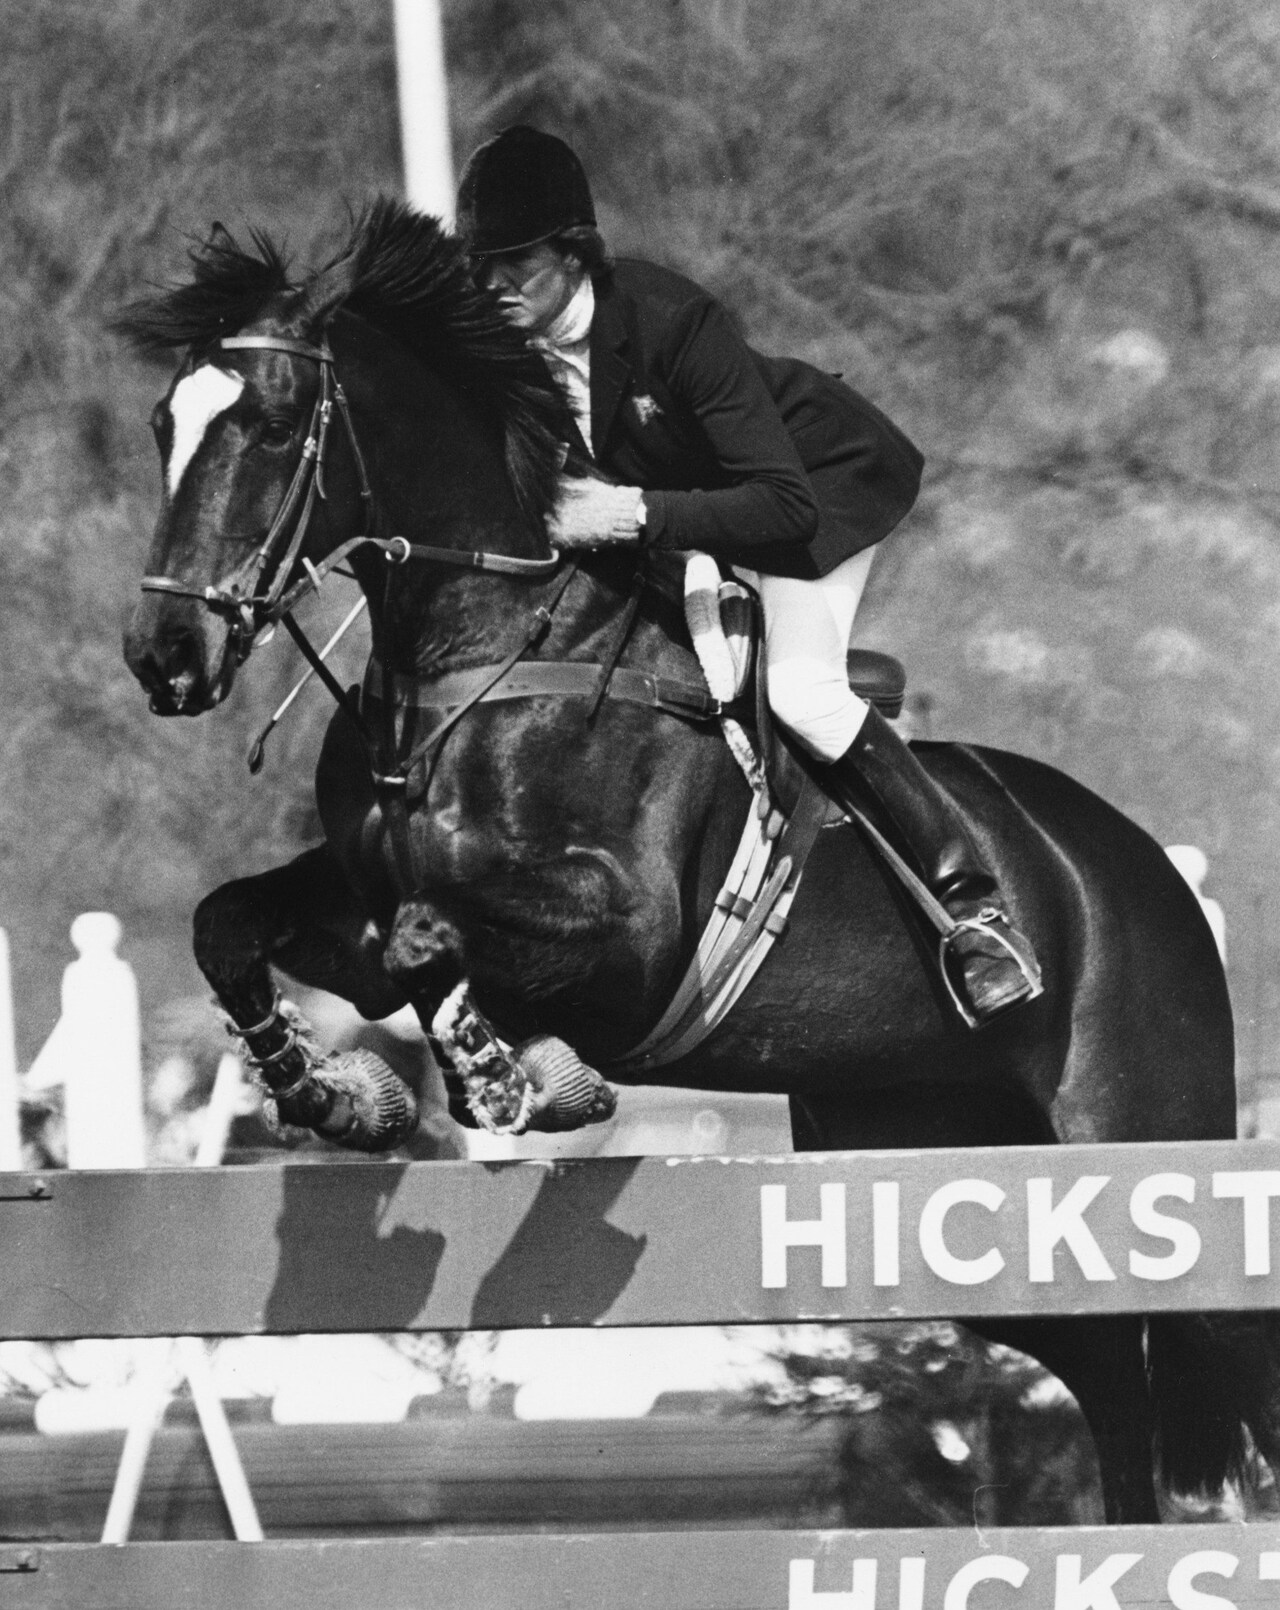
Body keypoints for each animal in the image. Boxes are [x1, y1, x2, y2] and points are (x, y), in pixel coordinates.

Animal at [115, 198, 1275, 1519]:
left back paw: (984, 943)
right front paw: (334, 1093)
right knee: (1108, 1368)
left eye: (265, 424)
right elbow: (243, 923)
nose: (164, 655)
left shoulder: (629, 936)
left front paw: (509, 1076)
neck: (479, 649)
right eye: (161, 424)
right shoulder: (358, 894)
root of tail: (1142, 863)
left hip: (1140, 1132)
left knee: (1211, 1343)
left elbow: (432, 935)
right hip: (944, 1158)